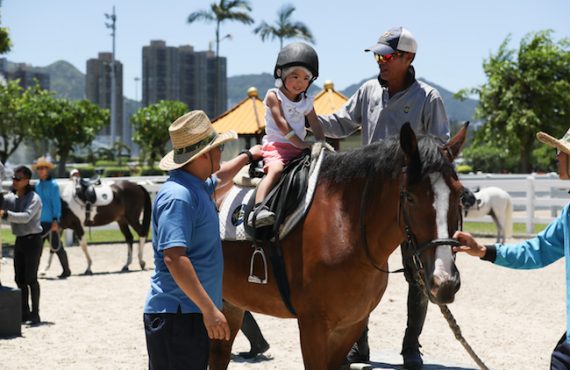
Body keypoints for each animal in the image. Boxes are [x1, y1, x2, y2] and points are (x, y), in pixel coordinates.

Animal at [209, 124, 466, 370]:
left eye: (459, 193)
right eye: (410, 197)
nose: (445, 281)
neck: (344, 225)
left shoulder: (351, 325)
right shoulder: (313, 326)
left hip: (229, 305)